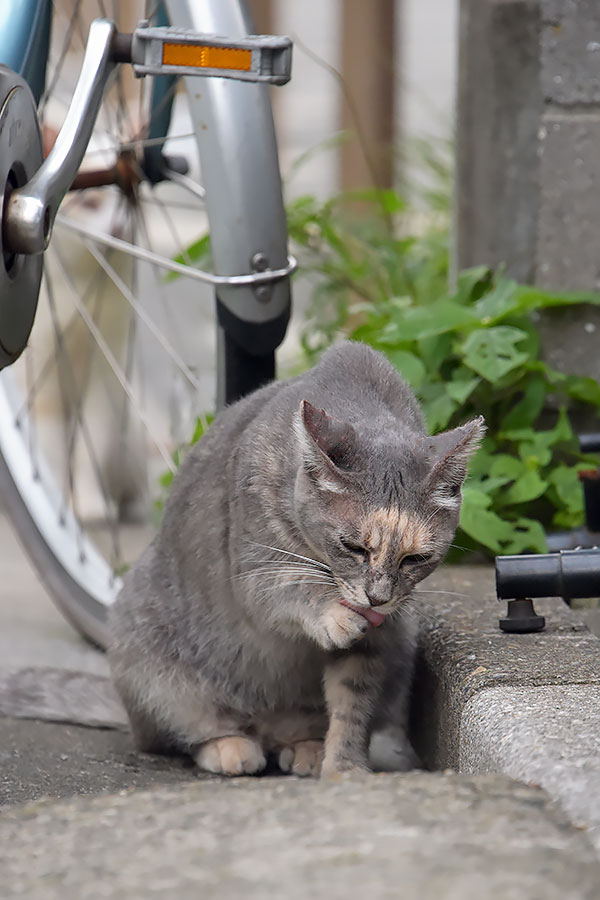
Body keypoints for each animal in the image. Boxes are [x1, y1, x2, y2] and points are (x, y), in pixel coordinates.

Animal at [106, 342, 482, 776]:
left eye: (415, 558)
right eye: (352, 547)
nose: (377, 598)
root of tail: (267, 726)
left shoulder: (380, 641)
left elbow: (353, 705)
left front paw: (345, 767)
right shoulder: (254, 569)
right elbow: (291, 586)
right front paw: (335, 614)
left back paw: (306, 749)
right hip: (153, 666)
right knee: (188, 731)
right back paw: (230, 748)